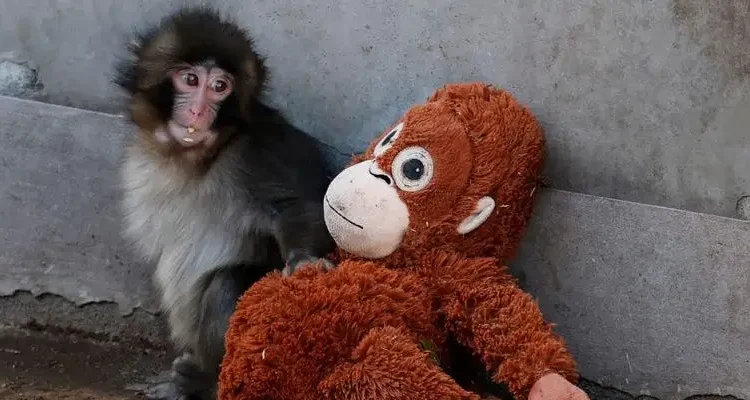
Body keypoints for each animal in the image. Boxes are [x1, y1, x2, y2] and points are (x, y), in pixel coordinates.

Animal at [113, 7, 336, 400]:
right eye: (190, 80)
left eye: (220, 87)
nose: (199, 111)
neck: (198, 158)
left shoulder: (259, 150)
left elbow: (297, 206)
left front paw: (304, 260)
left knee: (227, 284)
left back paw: (204, 381)